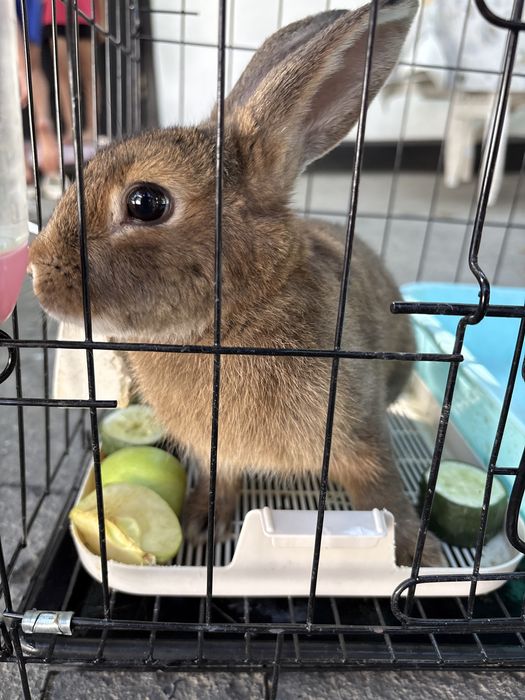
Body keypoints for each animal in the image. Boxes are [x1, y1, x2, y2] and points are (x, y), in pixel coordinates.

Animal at [30, 0, 445, 567]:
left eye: (146, 202)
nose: (35, 270)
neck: (228, 326)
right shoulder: (215, 449)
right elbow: (219, 478)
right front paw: (201, 524)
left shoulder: (358, 430)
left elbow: (381, 492)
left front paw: (415, 554)